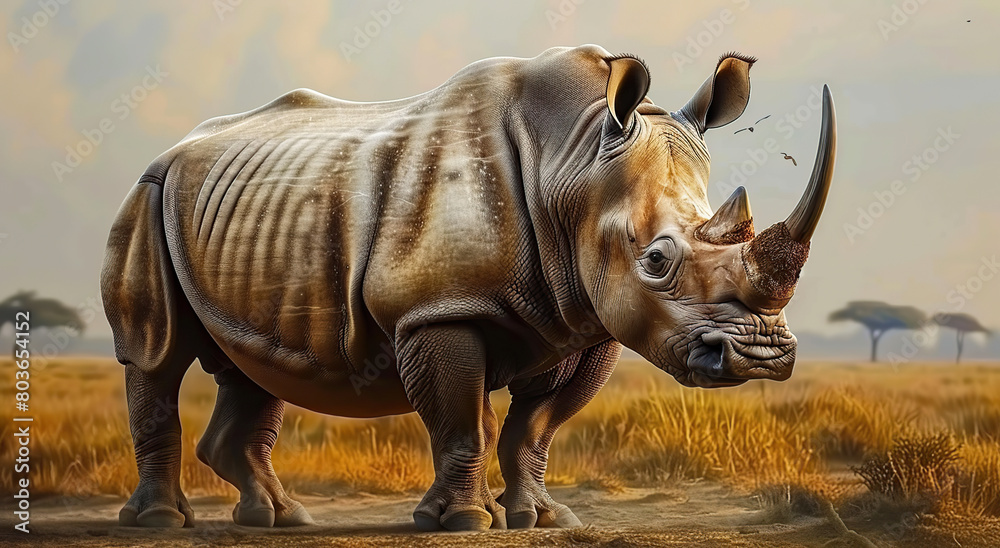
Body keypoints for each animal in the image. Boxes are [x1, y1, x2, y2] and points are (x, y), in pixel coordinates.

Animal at [101, 44, 836, 532]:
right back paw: (162, 523)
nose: (763, 356)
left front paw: (544, 519)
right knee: (155, 355)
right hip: (148, 192)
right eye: (656, 259)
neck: (570, 162)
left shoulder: (589, 321)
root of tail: (175, 146)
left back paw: (281, 520)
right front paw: (461, 521)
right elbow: (462, 418)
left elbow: (533, 429)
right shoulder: (437, 309)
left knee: (255, 365)